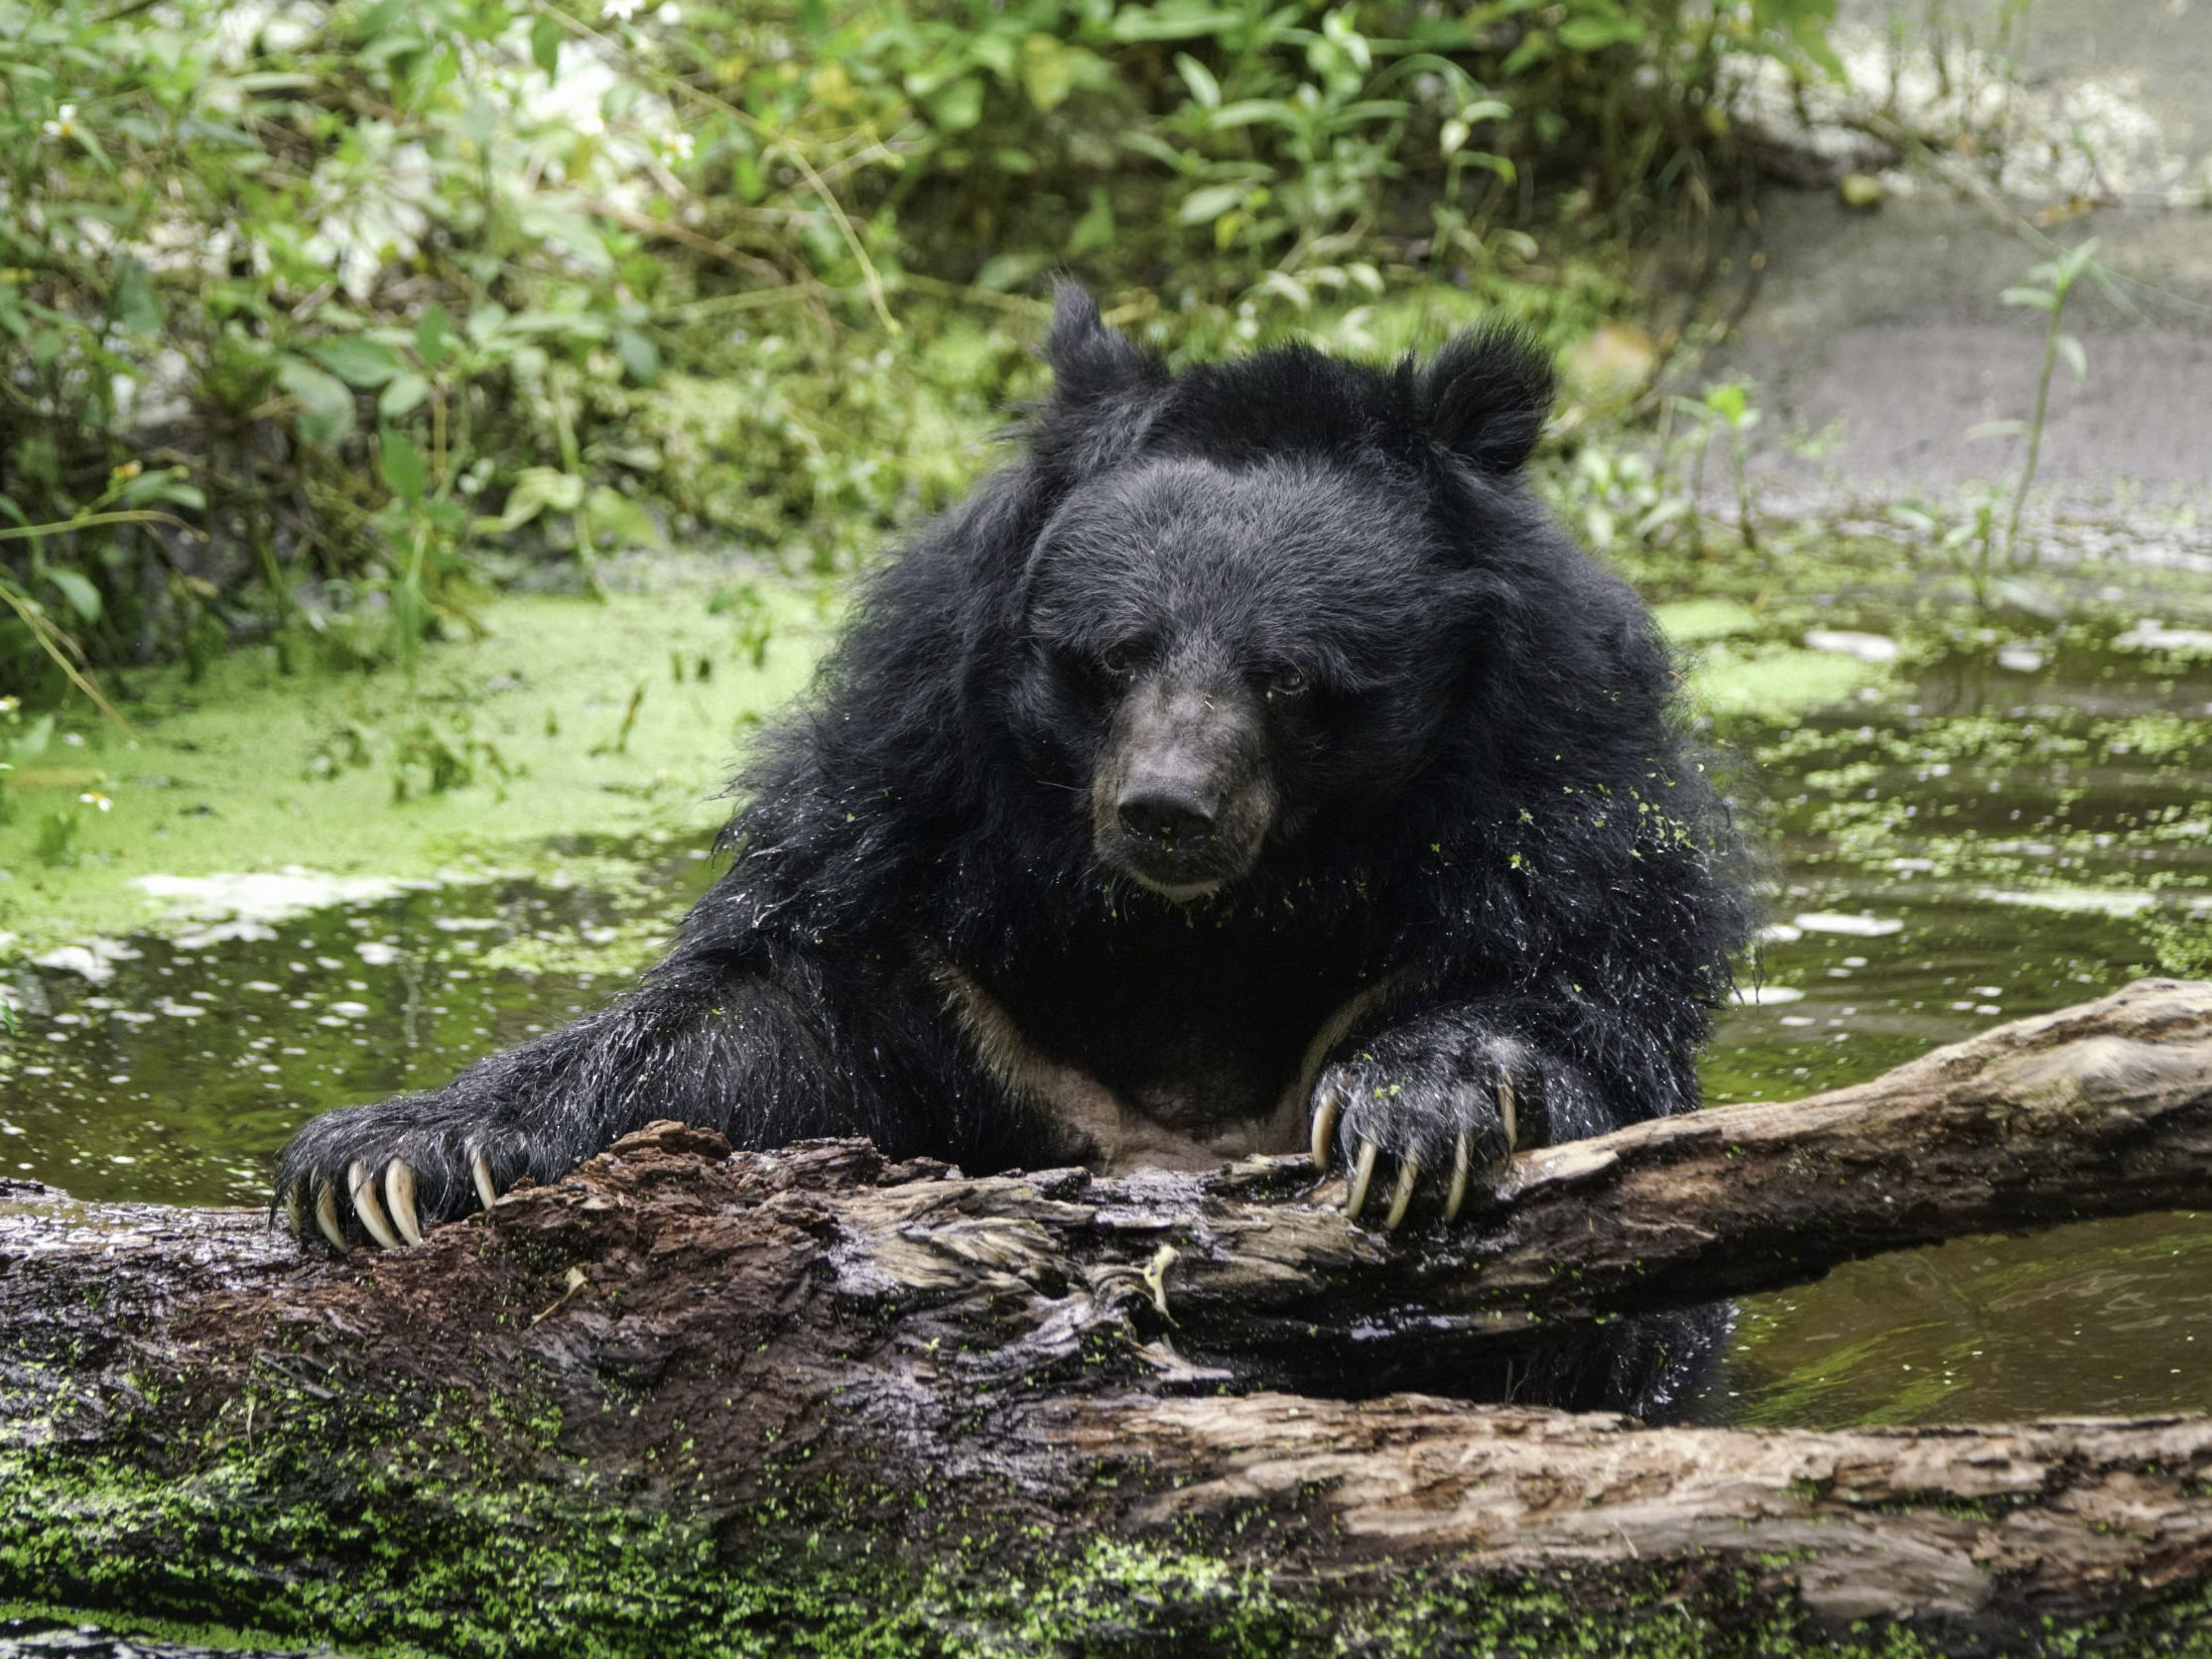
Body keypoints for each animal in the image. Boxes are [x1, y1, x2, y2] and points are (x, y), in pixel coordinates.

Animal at [274, 288, 1752, 1405]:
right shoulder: (923, 854)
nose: (1165, 809)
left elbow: (1577, 1004)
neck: (1204, 934)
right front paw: (382, 1161)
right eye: (1115, 655)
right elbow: (753, 1021)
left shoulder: (1559, 773)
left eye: (1287, 678)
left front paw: (1412, 1118)